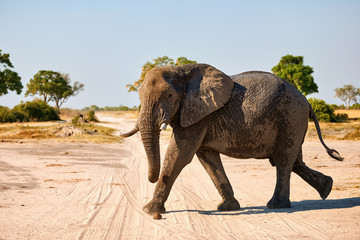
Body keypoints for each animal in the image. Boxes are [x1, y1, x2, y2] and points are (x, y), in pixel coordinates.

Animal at [121, 63, 344, 214]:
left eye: (169, 96)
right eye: (139, 95)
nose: (150, 178)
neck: (182, 71)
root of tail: (307, 101)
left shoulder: (198, 115)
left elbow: (179, 155)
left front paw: (149, 211)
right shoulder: (200, 116)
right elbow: (207, 159)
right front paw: (228, 207)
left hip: (291, 117)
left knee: (283, 160)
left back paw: (276, 205)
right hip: (293, 121)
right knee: (294, 161)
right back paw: (327, 188)